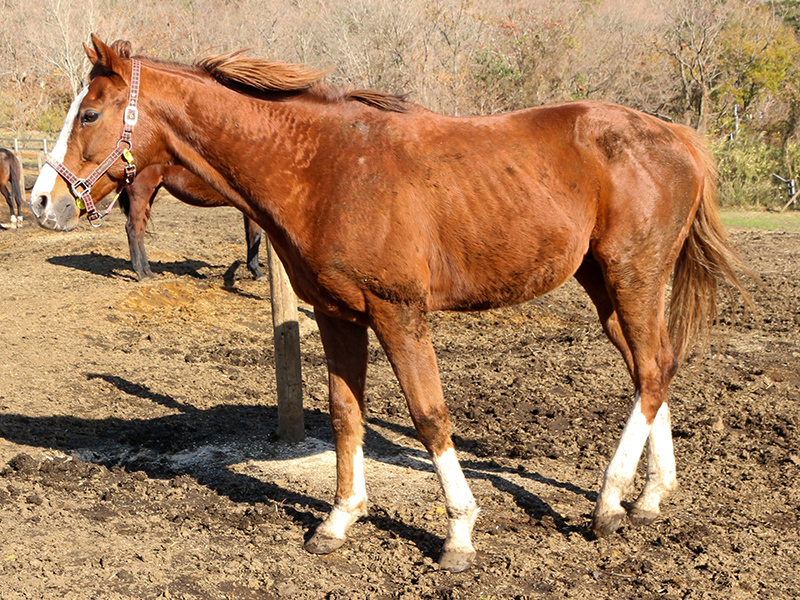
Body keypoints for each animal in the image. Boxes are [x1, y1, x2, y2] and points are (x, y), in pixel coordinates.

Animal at [28, 37, 752, 572]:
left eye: (89, 114)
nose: (41, 201)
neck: (323, 167)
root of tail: (676, 135)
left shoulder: (400, 312)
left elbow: (430, 417)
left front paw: (459, 533)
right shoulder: (337, 315)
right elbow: (345, 416)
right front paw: (337, 521)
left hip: (633, 276)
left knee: (652, 370)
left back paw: (607, 505)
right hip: (603, 283)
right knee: (652, 368)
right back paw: (650, 496)